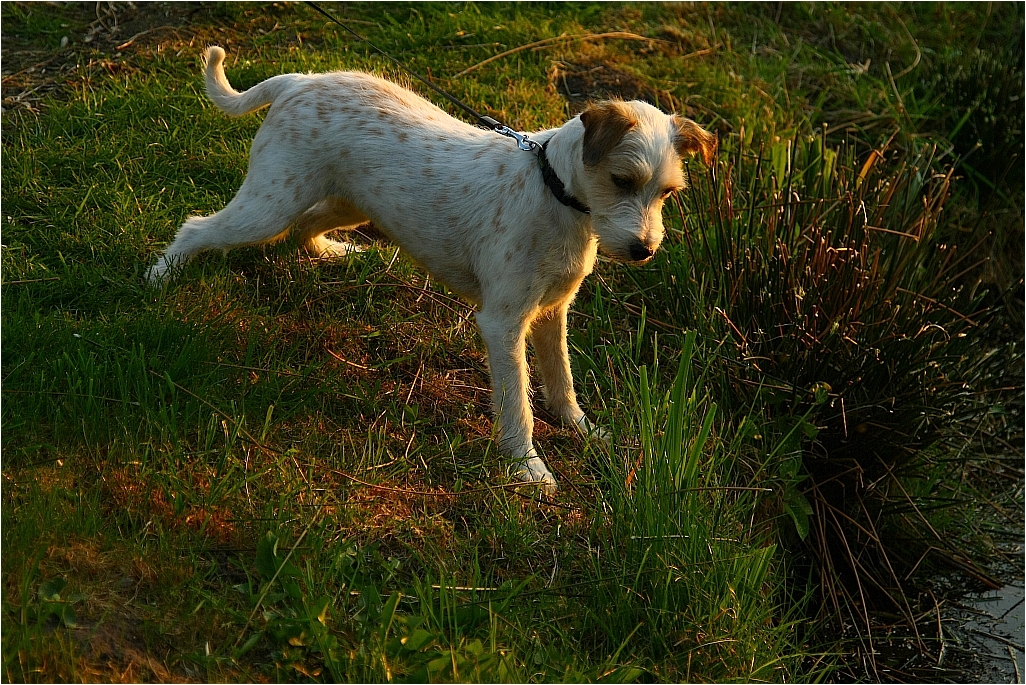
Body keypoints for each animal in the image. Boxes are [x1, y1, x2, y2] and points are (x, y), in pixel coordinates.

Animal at [148, 48, 718, 494]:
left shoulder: (552, 311)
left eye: (667, 193)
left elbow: (561, 381)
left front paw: (582, 430)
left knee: (302, 229)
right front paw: (527, 468)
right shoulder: (504, 323)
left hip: (347, 205)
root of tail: (299, 81)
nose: (644, 249)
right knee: (197, 227)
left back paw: (332, 254)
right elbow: (519, 403)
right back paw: (160, 280)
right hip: (269, 204)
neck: (554, 192)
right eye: (623, 181)